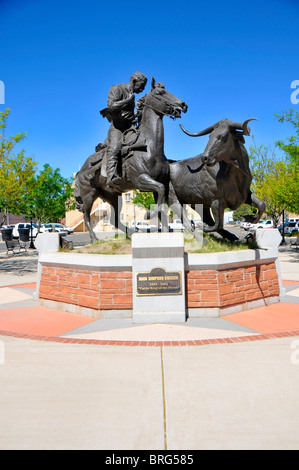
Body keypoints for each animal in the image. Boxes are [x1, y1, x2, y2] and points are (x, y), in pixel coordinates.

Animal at [74, 78, 188, 242]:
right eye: (161, 92)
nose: (183, 105)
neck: (149, 146)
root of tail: (80, 171)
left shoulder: (162, 183)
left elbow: (163, 203)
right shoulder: (141, 181)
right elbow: (159, 193)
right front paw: (148, 214)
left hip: (114, 197)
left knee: (114, 220)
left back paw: (133, 234)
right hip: (89, 195)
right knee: (86, 216)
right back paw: (94, 238)